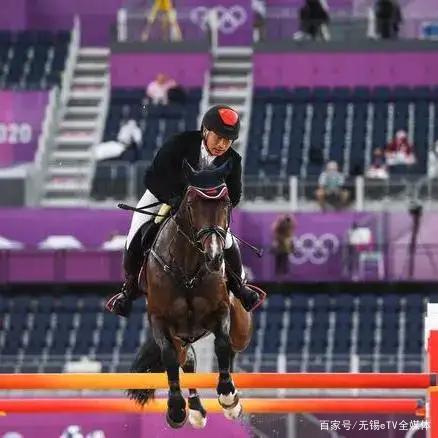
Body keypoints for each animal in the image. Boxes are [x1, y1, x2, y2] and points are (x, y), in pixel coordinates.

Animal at [128, 159, 253, 429]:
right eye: (191, 205)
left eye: (226, 204)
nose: (215, 257)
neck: (187, 267)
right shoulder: (160, 321)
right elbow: (169, 358)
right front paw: (176, 409)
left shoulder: (219, 311)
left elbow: (222, 344)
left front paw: (228, 397)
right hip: (182, 336)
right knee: (187, 361)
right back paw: (195, 409)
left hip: (240, 327)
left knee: (232, 343)